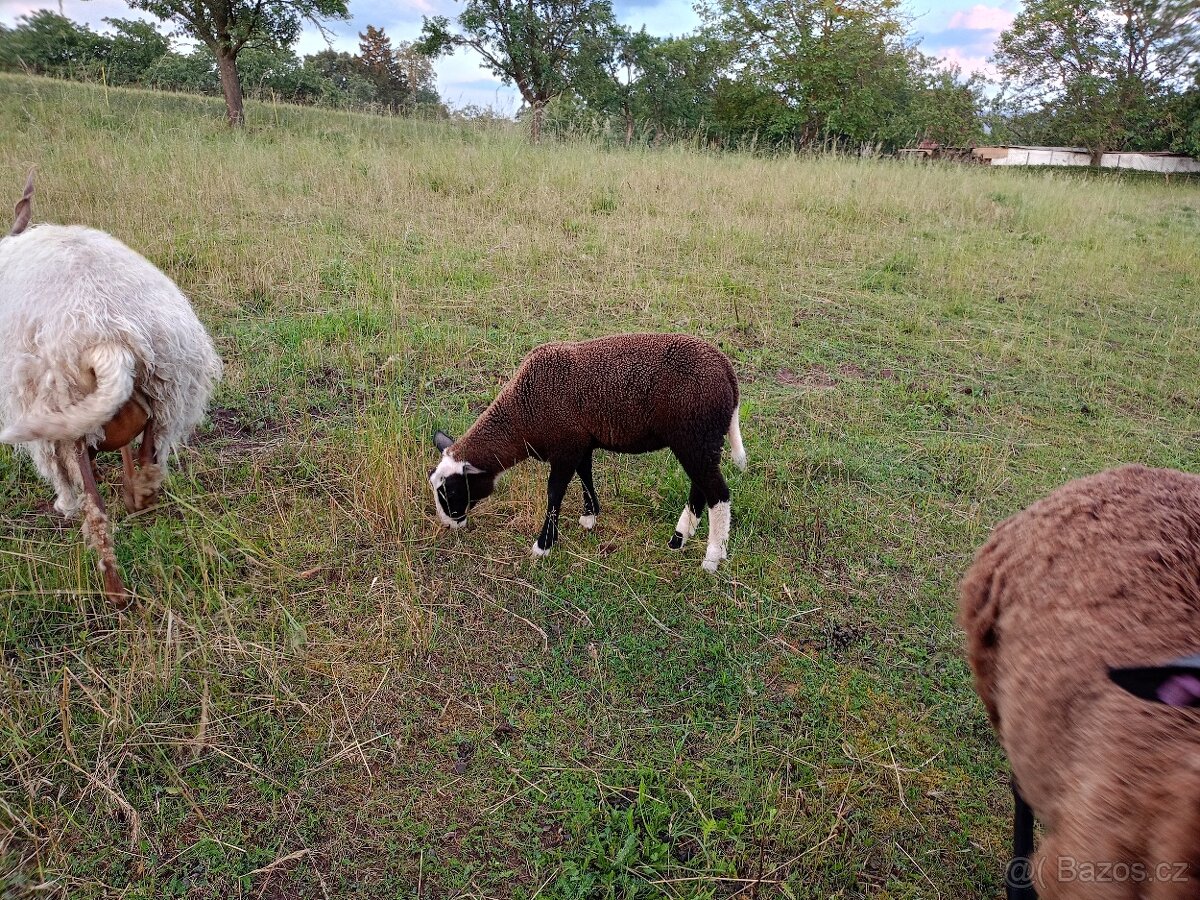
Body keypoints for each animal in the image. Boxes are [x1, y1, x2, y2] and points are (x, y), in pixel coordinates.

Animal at [1, 170, 222, 607]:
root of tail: (109, 335)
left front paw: (64, 504)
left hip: (62, 412)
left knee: (95, 515)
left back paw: (115, 594)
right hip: (165, 391)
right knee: (148, 466)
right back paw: (137, 499)